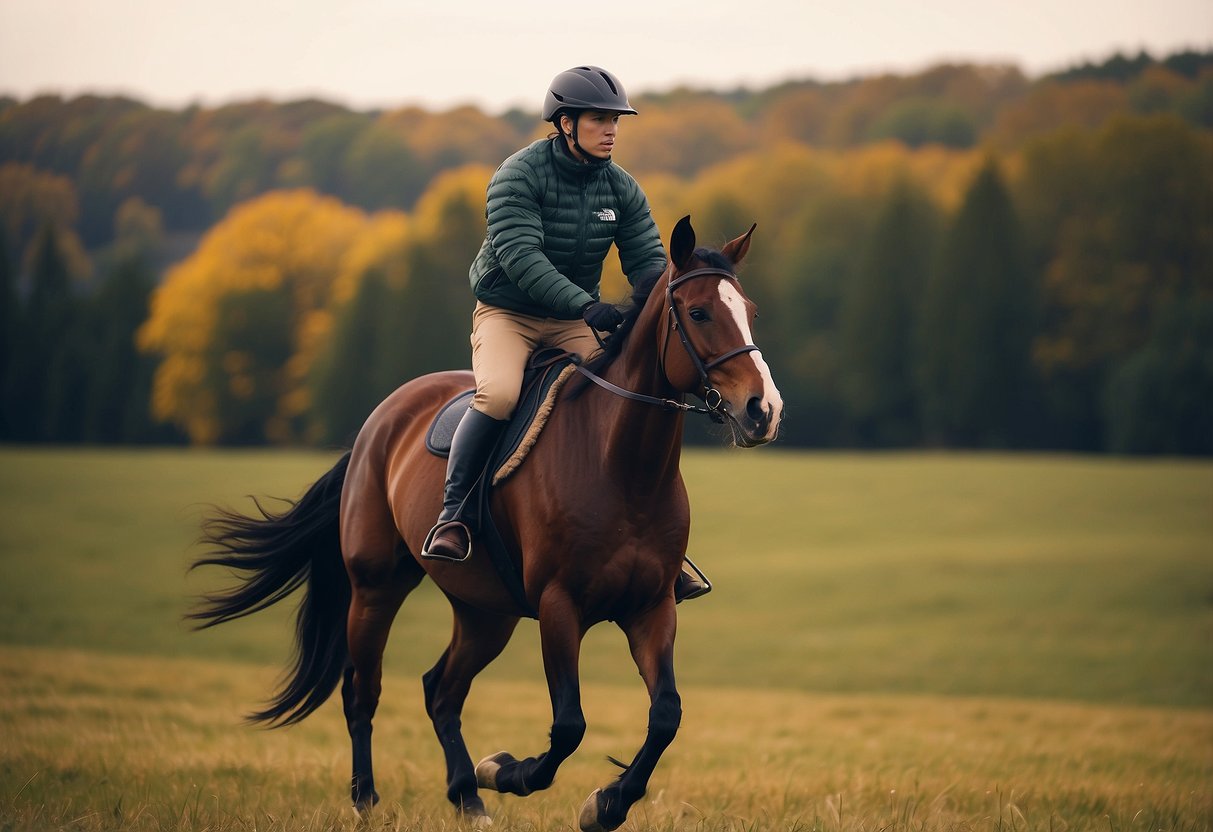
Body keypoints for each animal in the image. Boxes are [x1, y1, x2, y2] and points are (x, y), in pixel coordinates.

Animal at [191, 217, 786, 832]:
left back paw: (466, 797)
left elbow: (666, 714)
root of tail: (376, 425)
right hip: (376, 588)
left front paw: (605, 803)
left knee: (441, 690)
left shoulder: (651, 606)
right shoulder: (558, 605)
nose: (763, 410)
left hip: (485, 612)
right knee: (363, 690)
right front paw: (505, 770)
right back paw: (369, 799)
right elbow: (568, 725)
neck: (622, 468)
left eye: (749, 310)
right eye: (699, 312)